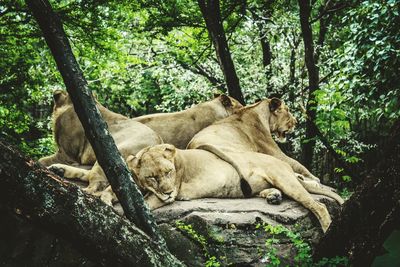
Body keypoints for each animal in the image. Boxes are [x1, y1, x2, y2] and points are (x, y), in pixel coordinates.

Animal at [126, 144, 344, 232]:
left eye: (168, 172)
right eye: (151, 177)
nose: (168, 192)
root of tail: (284, 164)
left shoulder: (174, 189)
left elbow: (143, 203)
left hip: (284, 179)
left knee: (318, 205)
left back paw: (327, 229)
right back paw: (273, 196)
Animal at [188, 98, 322, 184]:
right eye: (287, 110)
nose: (296, 122)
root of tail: (194, 146)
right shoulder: (274, 151)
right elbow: (297, 163)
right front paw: (315, 178)